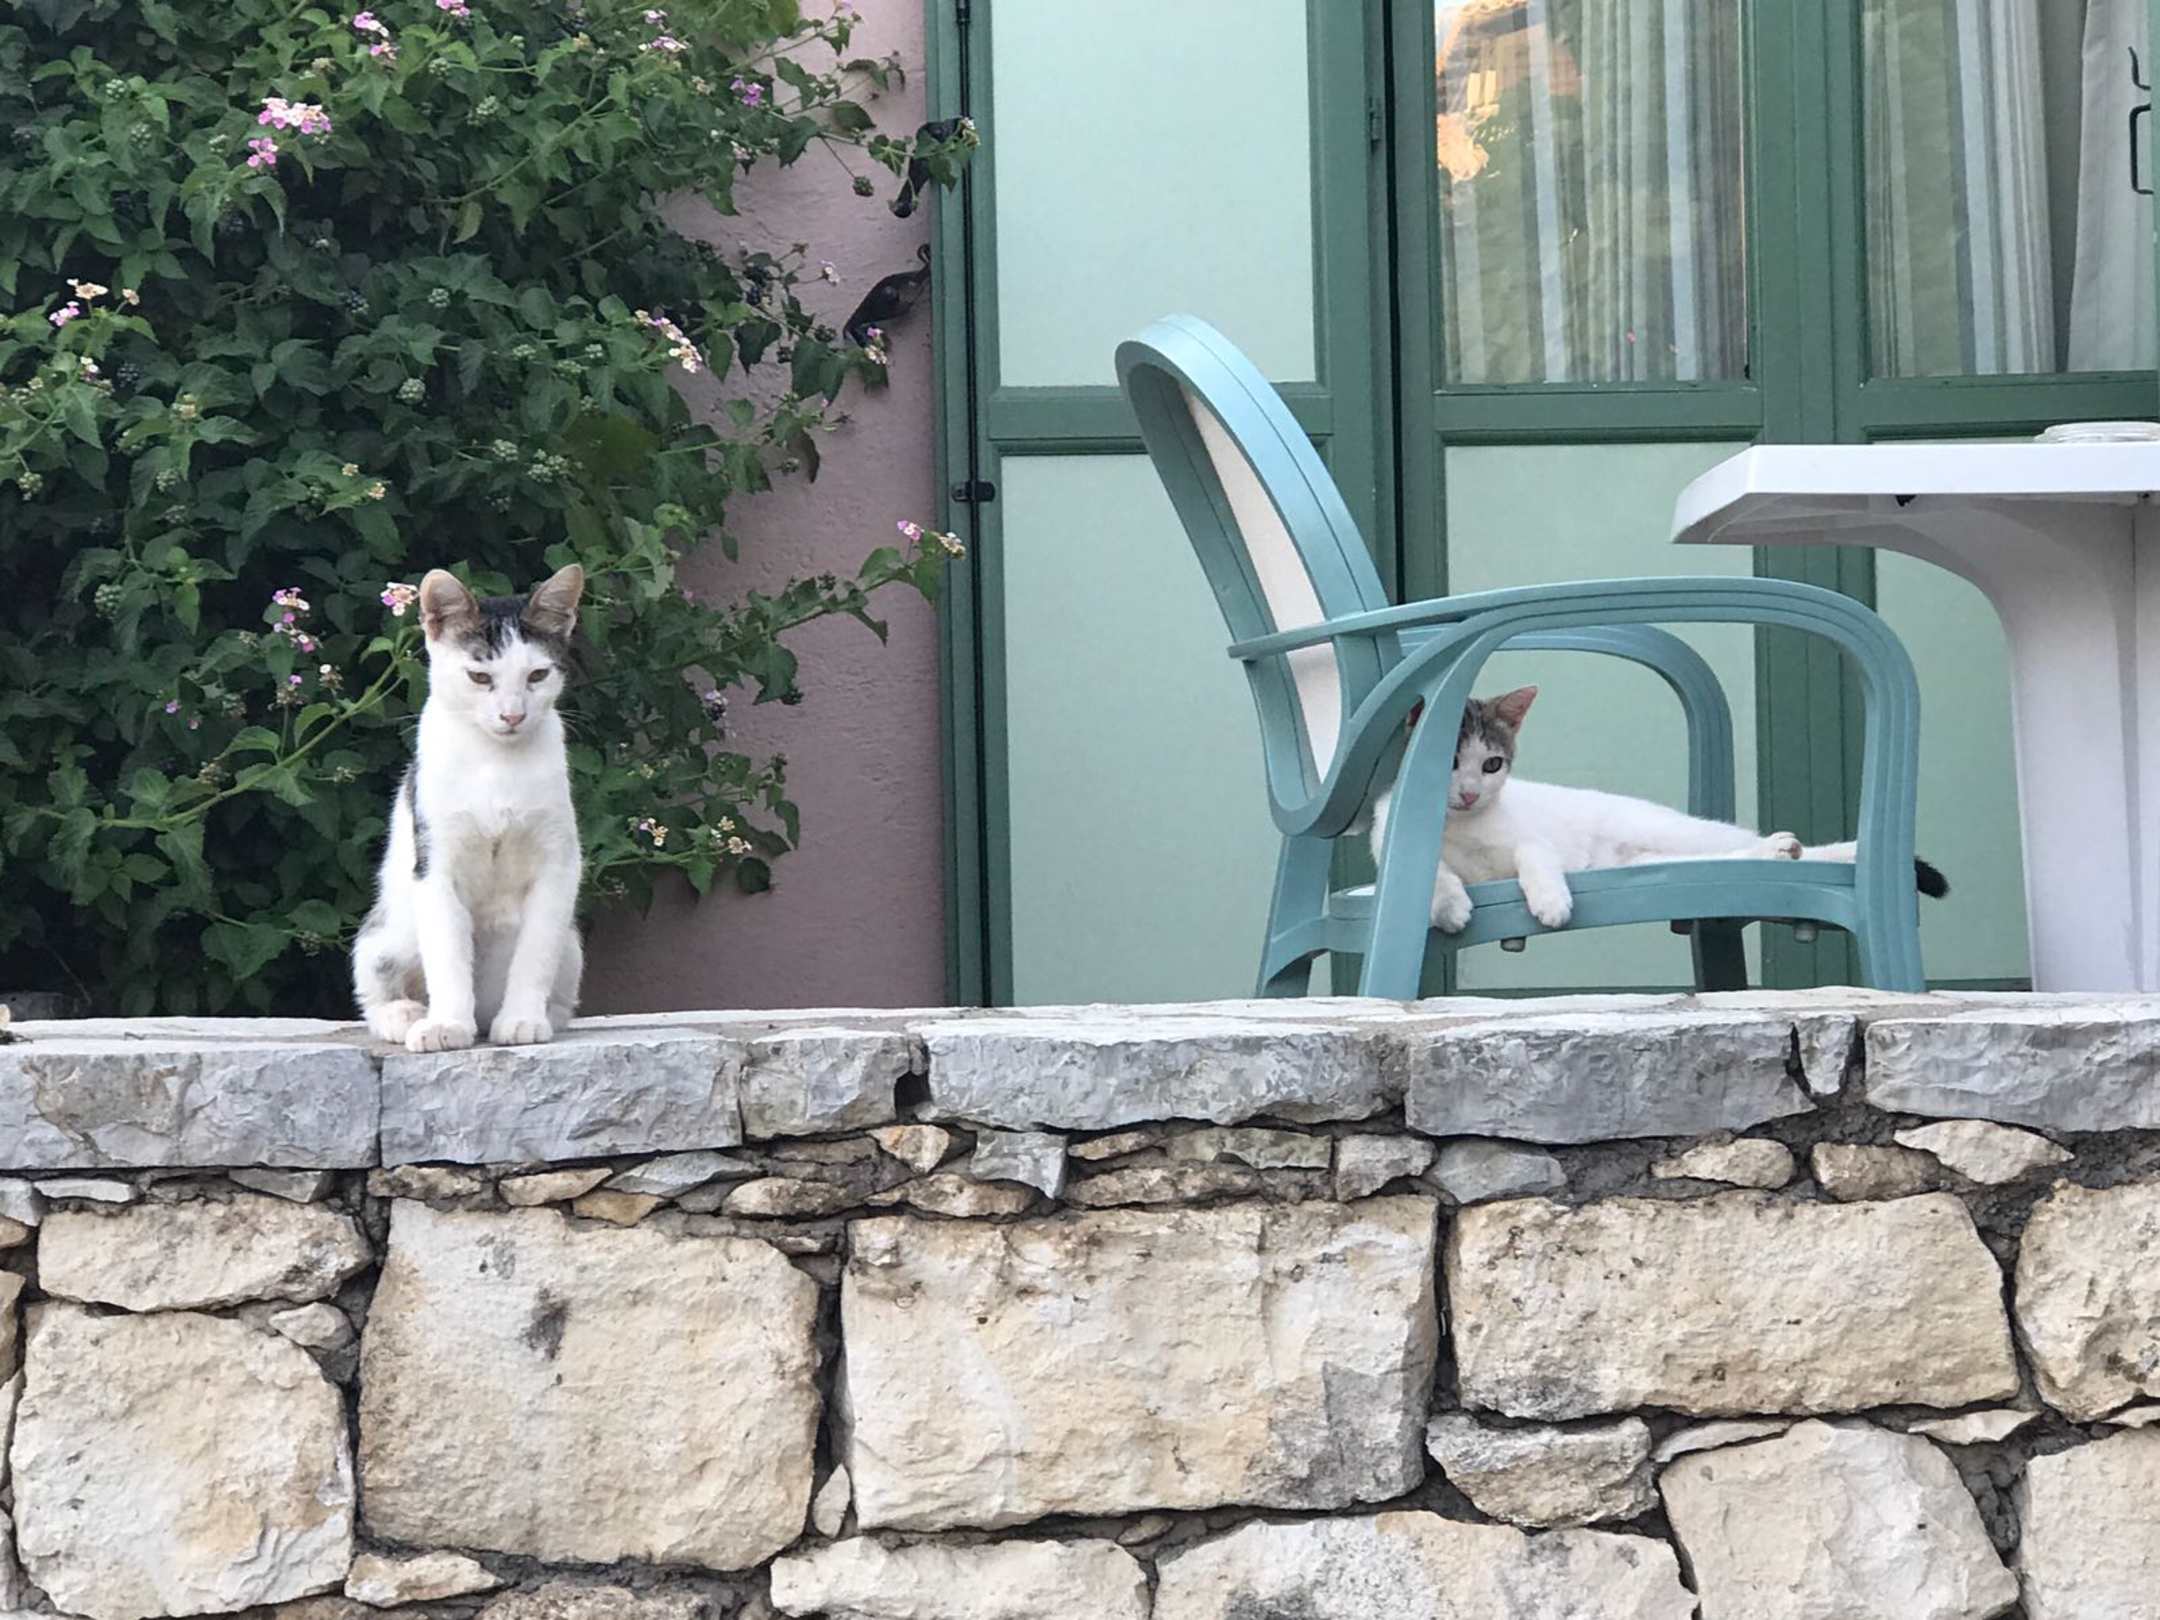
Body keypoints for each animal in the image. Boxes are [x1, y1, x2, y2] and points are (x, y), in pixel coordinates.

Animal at [353, 565, 586, 1052]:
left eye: (537, 674)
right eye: (480, 677)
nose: (513, 716)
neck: (496, 763)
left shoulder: (559, 864)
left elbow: (536, 952)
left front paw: (523, 1019)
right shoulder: (435, 865)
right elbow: (447, 954)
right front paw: (446, 1025)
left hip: (573, 947)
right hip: (386, 935)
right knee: (375, 988)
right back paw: (405, 1015)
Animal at [1370, 685, 1948, 933]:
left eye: (1491, 764)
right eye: (1450, 763)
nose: (1469, 793)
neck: (1462, 826)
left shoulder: (1534, 839)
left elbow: (1536, 856)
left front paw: (1551, 902)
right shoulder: (1392, 851)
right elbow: (1431, 872)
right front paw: (1449, 905)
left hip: (1677, 833)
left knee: (1738, 844)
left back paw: (1785, 847)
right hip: (1652, 862)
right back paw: (1782, 853)